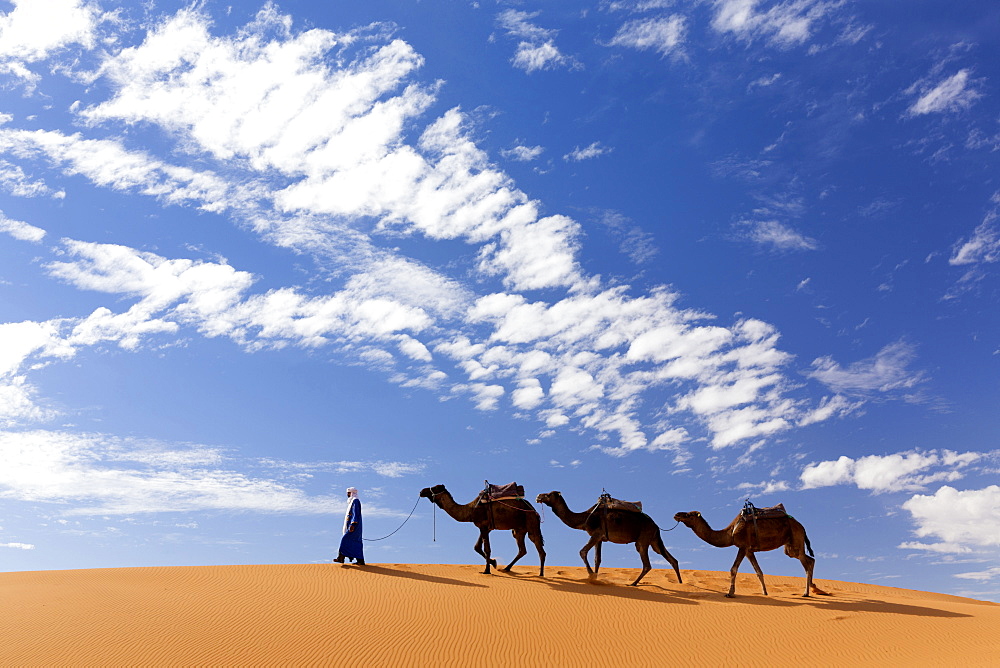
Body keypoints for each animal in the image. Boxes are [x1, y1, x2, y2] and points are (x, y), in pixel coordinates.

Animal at [420, 482, 548, 576]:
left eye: (435, 488)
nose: (422, 491)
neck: (471, 509)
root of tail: (534, 510)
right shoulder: (485, 528)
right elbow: (477, 547)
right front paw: (494, 562)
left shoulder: (483, 525)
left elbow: (487, 549)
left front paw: (487, 570)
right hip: (519, 529)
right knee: (522, 549)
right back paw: (507, 568)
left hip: (531, 524)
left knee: (539, 548)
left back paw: (541, 574)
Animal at [540, 490, 680, 584]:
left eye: (549, 494)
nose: (538, 496)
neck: (585, 518)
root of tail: (656, 525)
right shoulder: (600, 538)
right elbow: (597, 559)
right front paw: (595, 578)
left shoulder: (596, 534)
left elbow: (582, 552)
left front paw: (591, 575)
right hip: (654, 540)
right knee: (672, 559)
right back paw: (680, 583)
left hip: (643, 539)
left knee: (647, 564)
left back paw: (633, 584)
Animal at [672, 508, 828, 596]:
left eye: (689, 515)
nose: (676, 515)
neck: (730, 532)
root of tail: (802, 526)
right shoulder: (749, 550)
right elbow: (758, 571)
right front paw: (765, 592)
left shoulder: (742, 546)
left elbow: (733, 569)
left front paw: (730, 593)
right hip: (789, 547)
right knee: (811, 560)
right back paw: (814, 588)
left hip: (796, 540)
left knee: (806, 563)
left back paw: (806, 593)